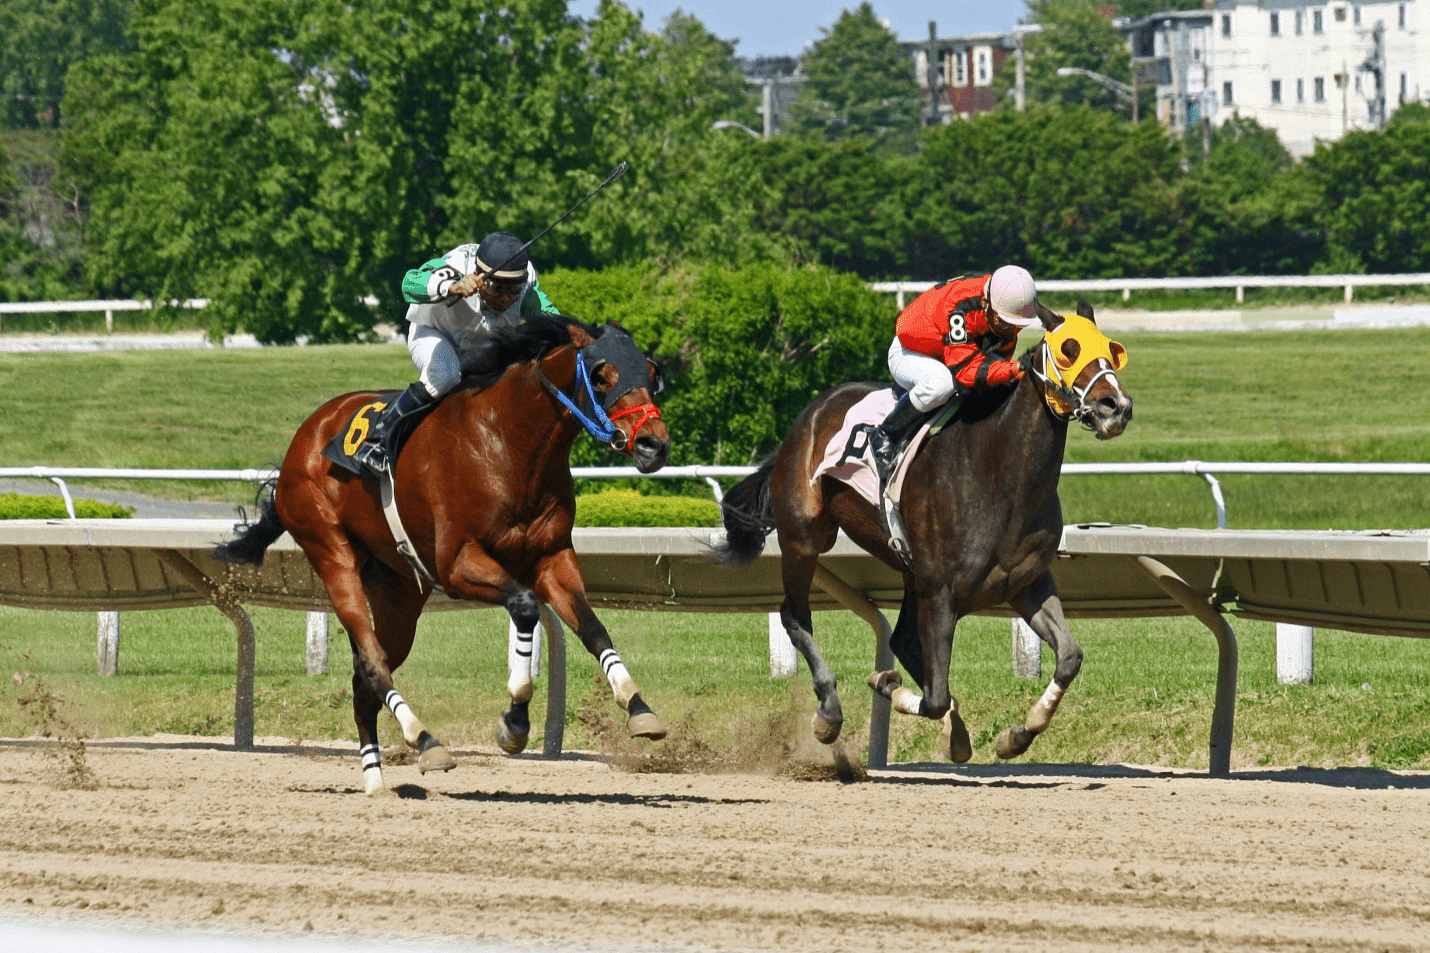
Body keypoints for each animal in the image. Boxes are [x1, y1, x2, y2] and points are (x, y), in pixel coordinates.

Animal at [214, 314, 671, 795]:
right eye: (602, 376)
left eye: (652, 374)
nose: (653, 445)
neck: (509, 444)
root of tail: (309, 431)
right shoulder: (458, 565)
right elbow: (525, 605)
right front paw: (514, 721)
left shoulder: (553, 558)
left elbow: (593, 627)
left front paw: (638, 708)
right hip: (330, 550)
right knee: (372, 663)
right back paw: (425, 740)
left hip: (398, 594)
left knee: (364, 682)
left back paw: (376, 779)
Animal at [714, 301, 1132, 763]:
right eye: (1067, 350)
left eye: (1111, 351)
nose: (1116, 406)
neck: (1000, 471)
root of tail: (810, 414)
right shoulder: (940, 591)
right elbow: (932, 696)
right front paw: (884, 683)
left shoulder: (1025, 584)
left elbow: (1069, 657)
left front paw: (1017, 735)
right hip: (804, 538)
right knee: (795, 614)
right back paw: (829, 711)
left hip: (907, 570)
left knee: (903, 643)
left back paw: (956, 732)